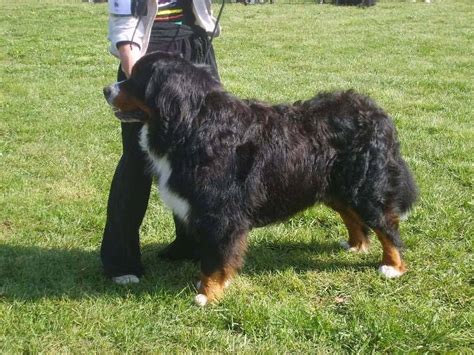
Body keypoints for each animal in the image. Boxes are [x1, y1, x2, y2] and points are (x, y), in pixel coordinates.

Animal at [102, 51, 416, 308]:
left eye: (136, 78)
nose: (106, 89)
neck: (191, 125)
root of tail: (377, 113)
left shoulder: (220, 213)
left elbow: (215, 257)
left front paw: (207, 293)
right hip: (335, 187)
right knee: (354, 218)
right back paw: (355, 245)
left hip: (364, 187)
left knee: (386, 225)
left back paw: (392, 267)